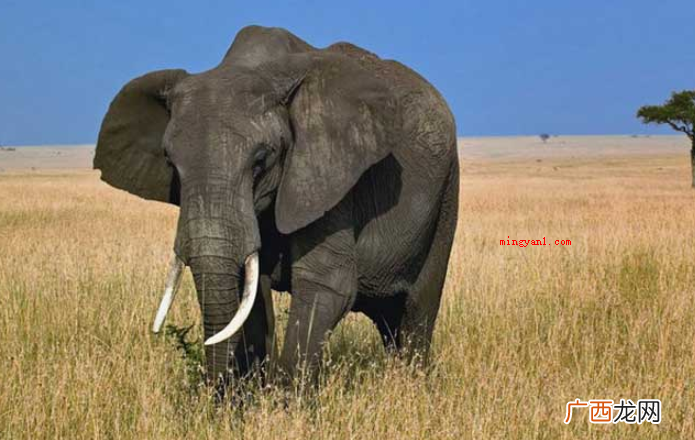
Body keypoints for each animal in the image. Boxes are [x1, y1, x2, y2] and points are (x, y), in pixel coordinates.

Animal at [94, 25, 459, 387]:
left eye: (260, 161)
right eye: (171, 163)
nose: (215, 391)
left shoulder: (327, 172)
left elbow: (326, 282)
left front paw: (284, 399)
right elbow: (251, 293)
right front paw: (250, 394)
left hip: (446, 193)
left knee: (416, 310)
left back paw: (412, 384)